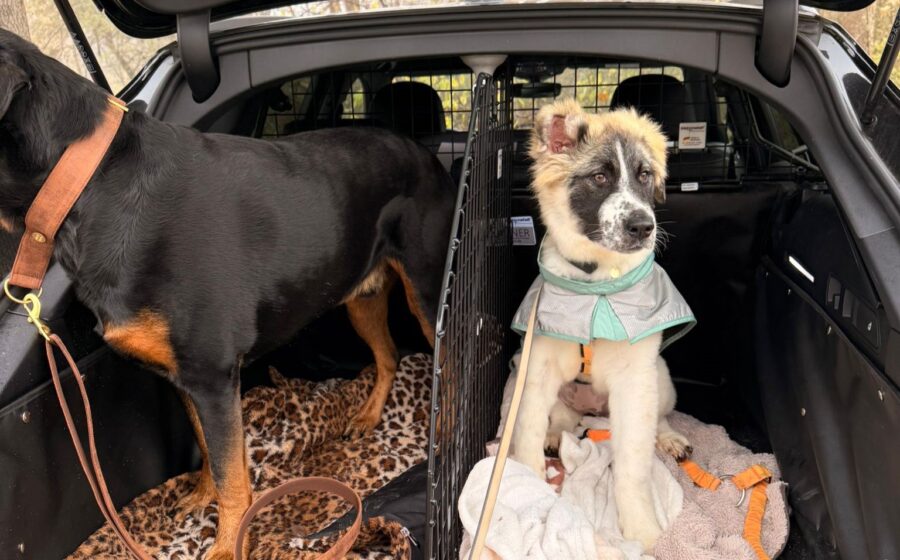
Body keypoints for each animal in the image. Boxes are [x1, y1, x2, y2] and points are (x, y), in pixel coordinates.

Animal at [0, 30, 454, 559]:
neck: (81, 181)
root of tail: (422, 149)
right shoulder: (187, 379)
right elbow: (210, 452)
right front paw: (202, 497)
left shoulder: (212, 373)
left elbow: (232, 473)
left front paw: (227, 544)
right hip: (361, 295)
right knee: (387, 356)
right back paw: (369, 414)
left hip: (427, 292)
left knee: (451, 362)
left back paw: (444, 437)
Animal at [511, 99, 694, 552]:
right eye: (599, 177)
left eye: (645, 176)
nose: (644, 227)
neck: (596, 285)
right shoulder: (537, 367)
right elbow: (525, 435)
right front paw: (530, 485)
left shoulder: (635, 383)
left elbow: (633, 466)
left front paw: (643, 529)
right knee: (561, 420)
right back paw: (556, 435)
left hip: (659, 379)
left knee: (658, 419)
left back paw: (668, 438)